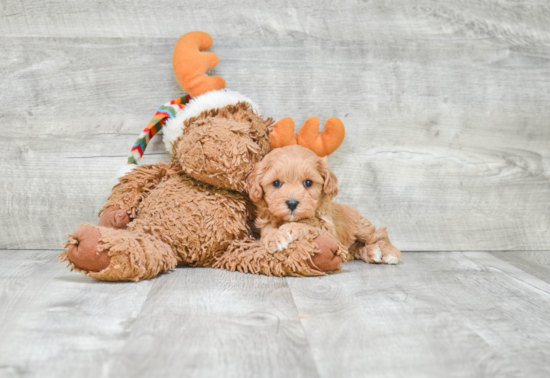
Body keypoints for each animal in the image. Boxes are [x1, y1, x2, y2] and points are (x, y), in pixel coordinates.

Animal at [248, 145, 404, 266]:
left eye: (308, 183)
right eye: (276, 183)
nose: (292, 203)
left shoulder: (330, 233)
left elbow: (311, 225)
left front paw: (292, 228)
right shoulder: (266, 221)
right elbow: (267, 232)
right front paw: (274, 238)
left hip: (361, 228)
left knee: (379, 234)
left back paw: (389, 253)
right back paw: (372, 252)